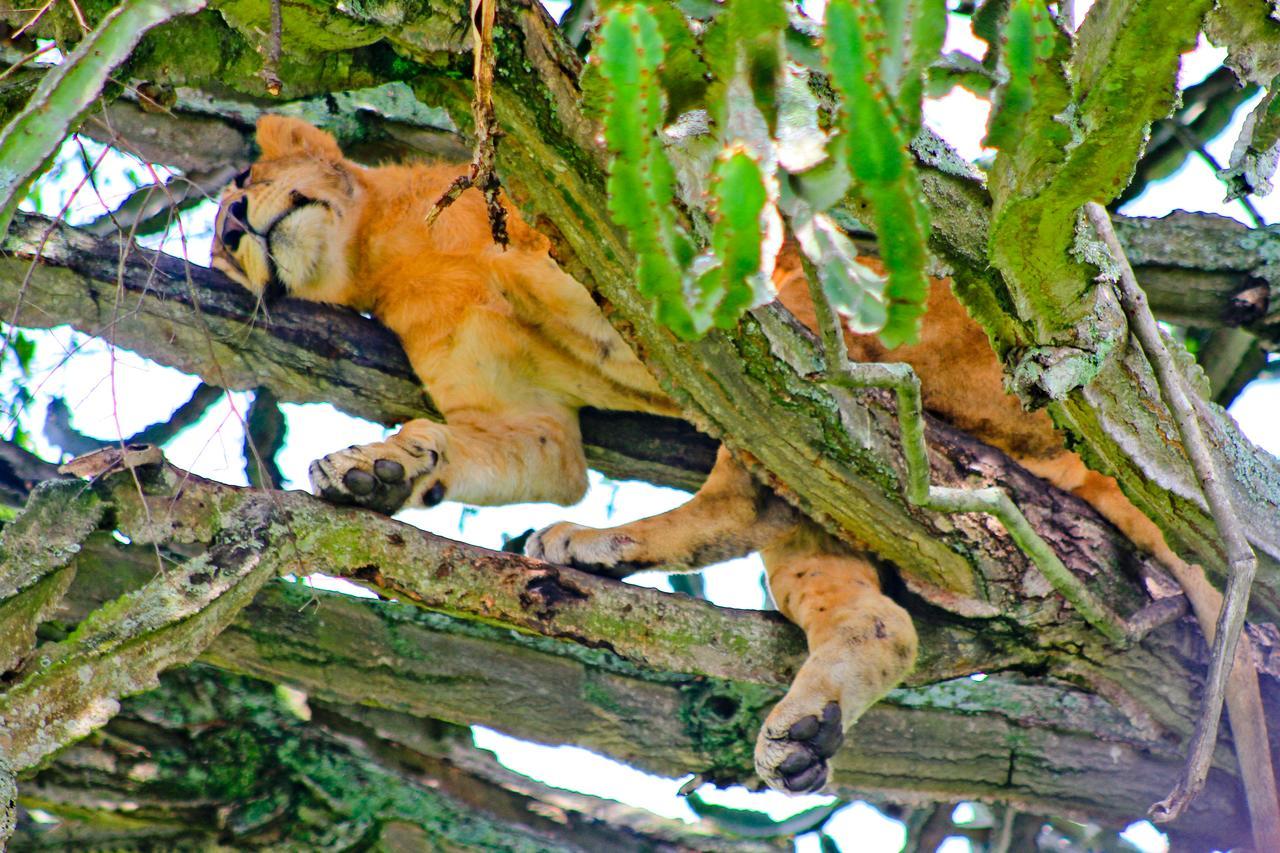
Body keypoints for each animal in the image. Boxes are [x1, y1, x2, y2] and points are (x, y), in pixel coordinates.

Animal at [212, 116, 1187, 794]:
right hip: (839, 505)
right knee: (872, 611)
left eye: (242, 181)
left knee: (764, 451)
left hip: (843, 336)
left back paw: (599, 546)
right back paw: (796, 727)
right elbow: (501, 449)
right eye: (222, 237)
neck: (393, 243)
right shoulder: (528, 423)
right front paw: (373, 471)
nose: (229, 231)